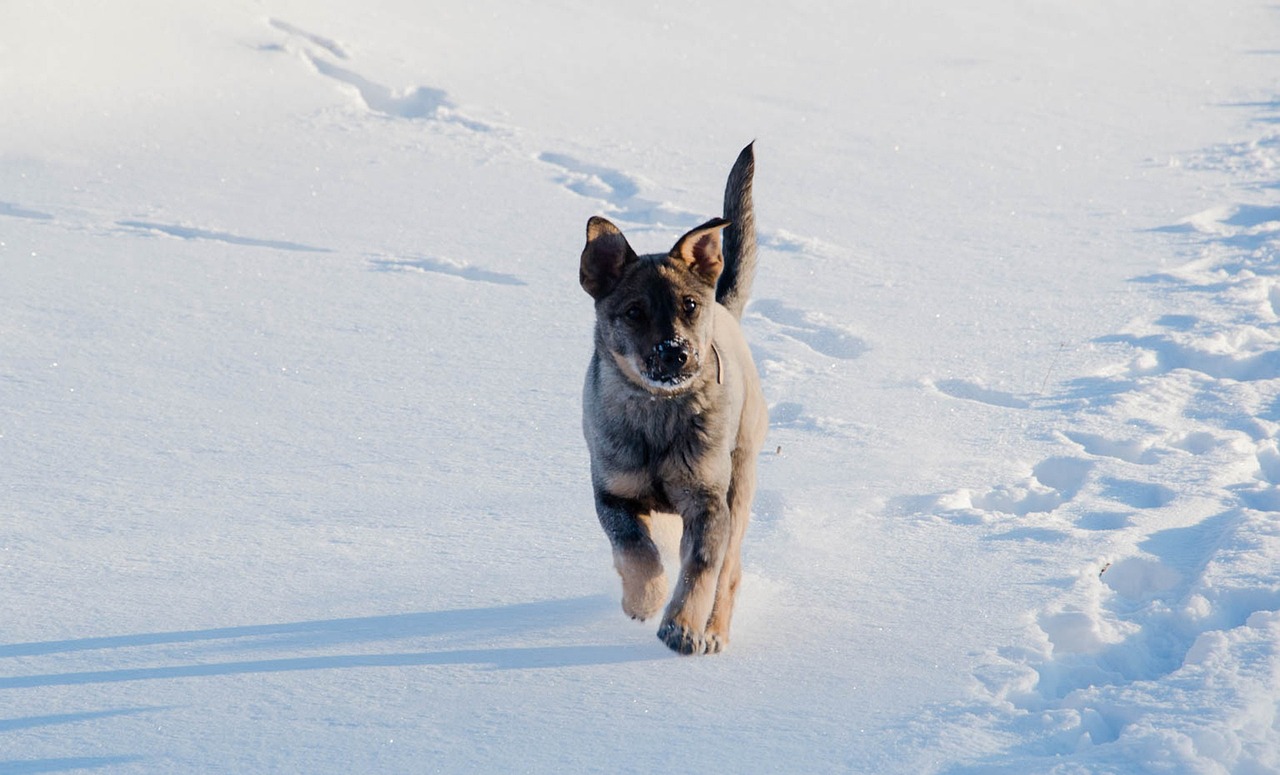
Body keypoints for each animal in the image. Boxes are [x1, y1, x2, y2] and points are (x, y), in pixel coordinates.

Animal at [583, 143, 768, 653]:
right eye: (633, 312)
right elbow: (635, 548)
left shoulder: (707, 502)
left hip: (741, 476)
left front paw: (681, 627)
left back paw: (714, 631)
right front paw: (644, 600)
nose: (676, 354)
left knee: (730, 570)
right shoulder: (612, 491)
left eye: (689, 305)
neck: (657, 412)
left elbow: (701, 567)